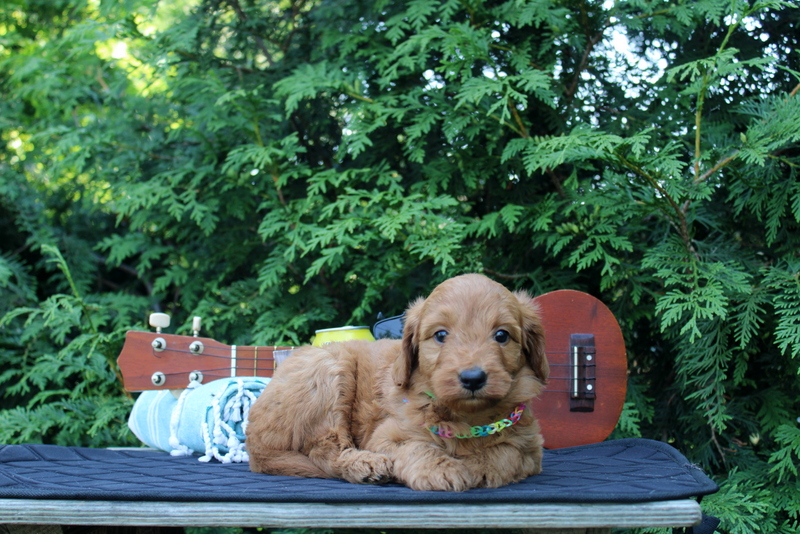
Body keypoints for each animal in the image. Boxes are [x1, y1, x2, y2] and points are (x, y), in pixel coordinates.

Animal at [247, 274, 548, 492]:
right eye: (441, 335)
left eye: (501, 335)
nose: (473, 378)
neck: (466, 417)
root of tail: (253, 442)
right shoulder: (384, 436)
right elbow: (415, 447)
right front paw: (440, 469)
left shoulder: (530, 446)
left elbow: (505, 453)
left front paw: (474, 466)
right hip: (328, 369)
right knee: (325, 452)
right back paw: (366, 465)